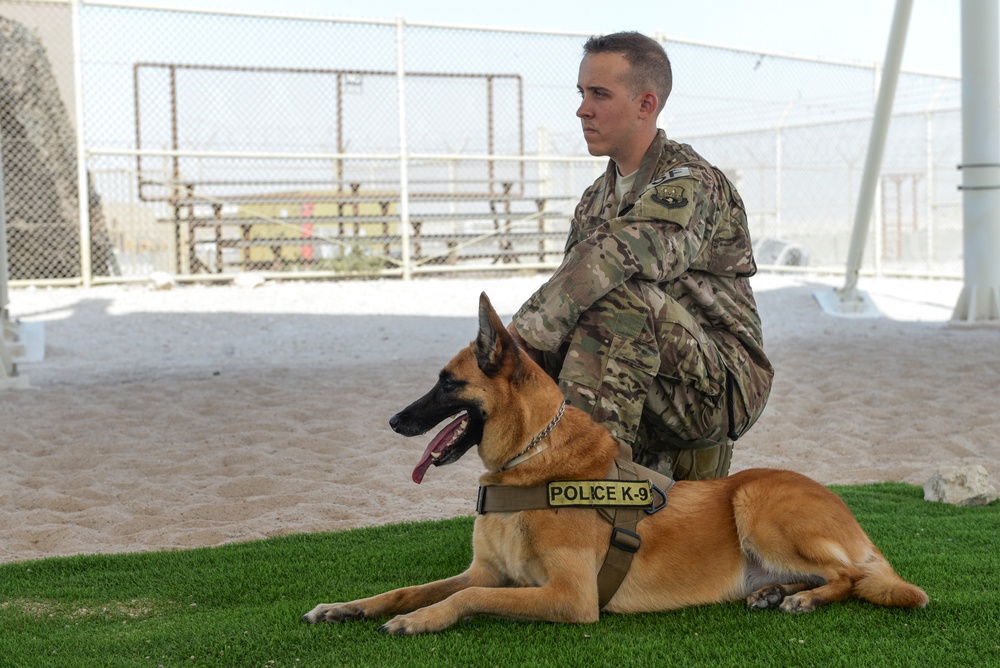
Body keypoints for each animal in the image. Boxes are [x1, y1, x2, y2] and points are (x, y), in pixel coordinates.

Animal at [300, 294, 924, 636]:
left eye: (447, 383)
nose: (393, 420)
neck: (529, 464)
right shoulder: (486, 572)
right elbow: (410, 589)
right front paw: (349, 607)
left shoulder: (569, 596)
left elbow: (463, 599)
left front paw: (422, 620)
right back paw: (776, 592)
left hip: (757, 504)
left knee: (850, 578)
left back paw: (803, 597)